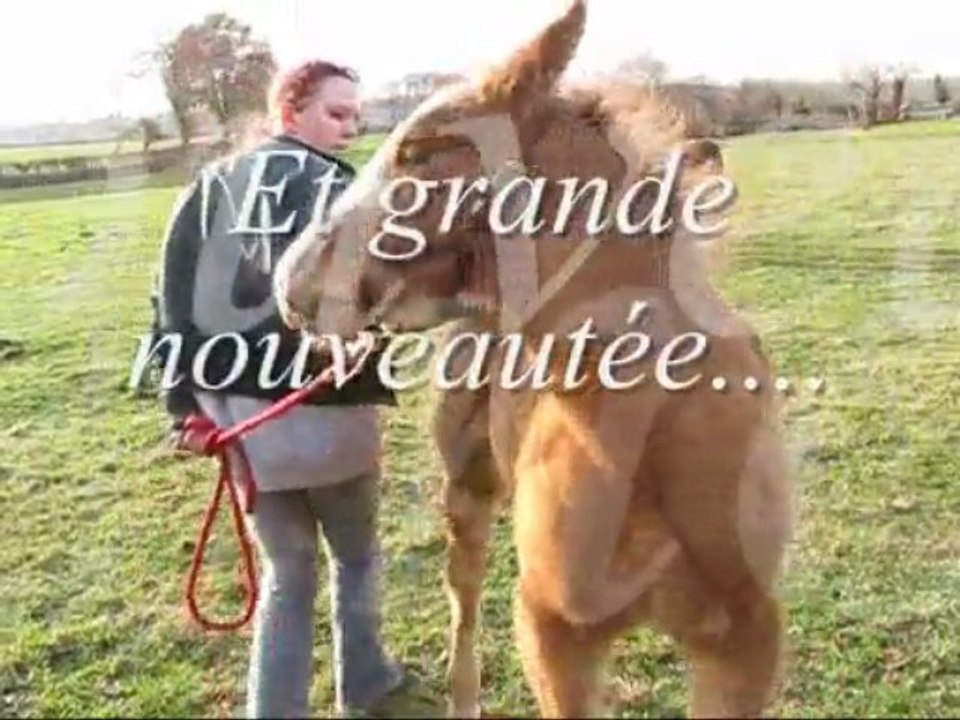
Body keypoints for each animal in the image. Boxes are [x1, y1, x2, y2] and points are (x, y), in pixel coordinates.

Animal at [274, 2, 793, 716]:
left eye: (416, 152)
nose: (291, 279)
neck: (650, 422)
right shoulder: (551, 631)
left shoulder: (743, 642)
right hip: (467, 487)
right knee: (462, 599)